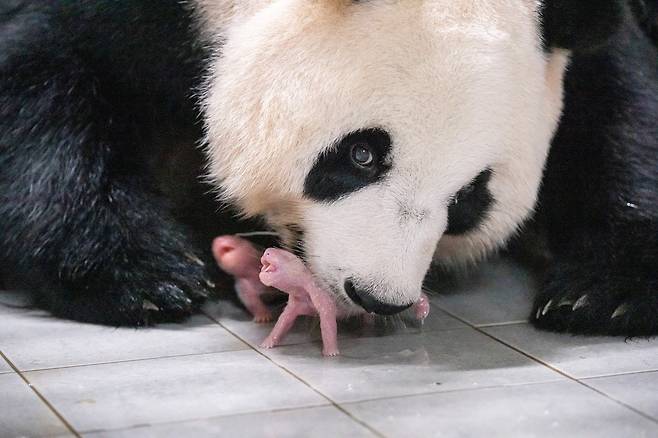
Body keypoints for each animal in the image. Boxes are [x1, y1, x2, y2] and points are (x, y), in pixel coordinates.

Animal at [0, 1, 652, 336]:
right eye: (362, 154)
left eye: (470, 197)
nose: (378, 296)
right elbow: (39, 77)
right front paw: (144, 278)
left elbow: (619, 104)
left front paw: (601, 294)